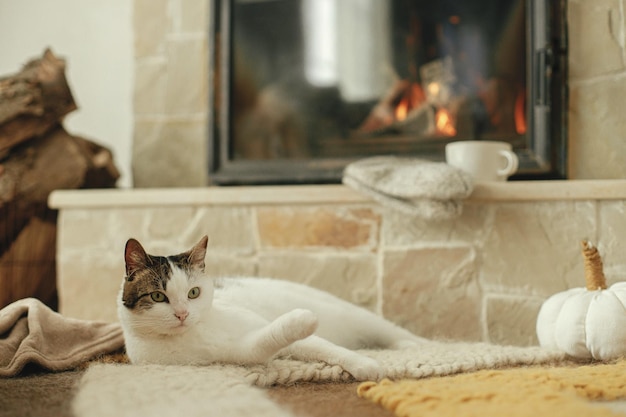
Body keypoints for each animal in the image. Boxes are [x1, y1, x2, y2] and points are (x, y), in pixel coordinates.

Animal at [117, 236, 424, 378]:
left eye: (193, 293)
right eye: (158, 297)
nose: (182, 314)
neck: (196, 333)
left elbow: (324, 347)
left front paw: (365, 365)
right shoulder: (242, 352)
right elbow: (269, 339)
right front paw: (301, 319)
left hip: (354, 315)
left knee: (396, 332)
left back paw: (418, 345)